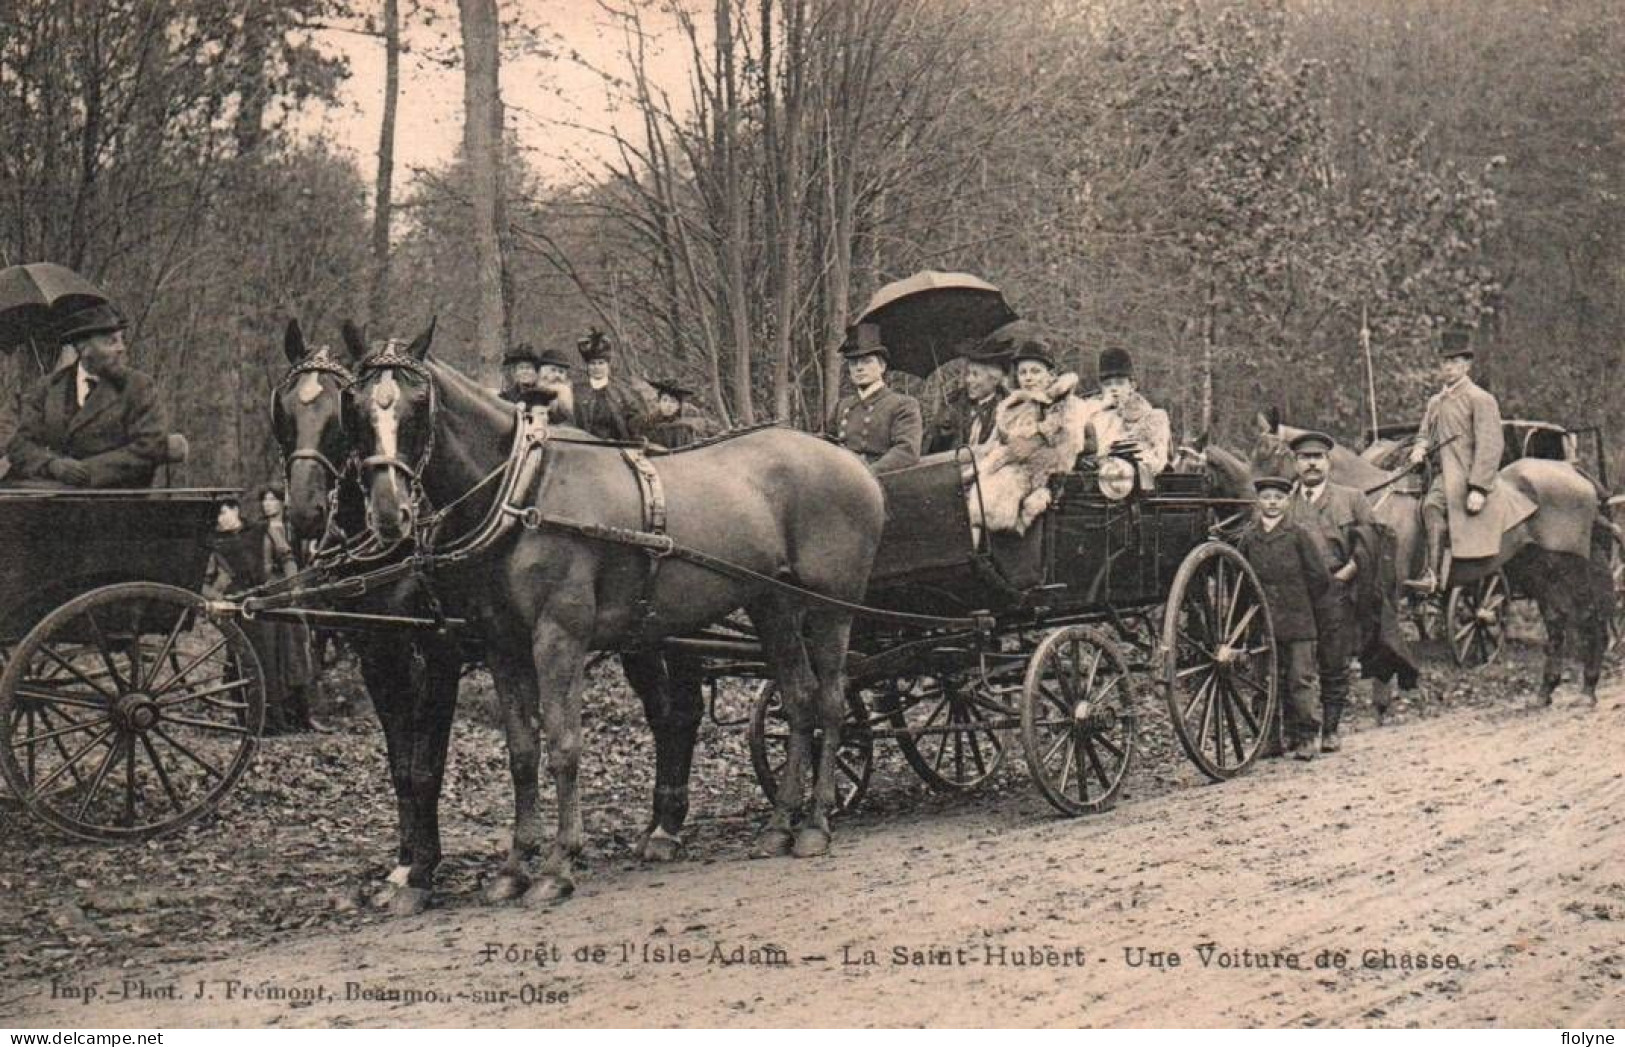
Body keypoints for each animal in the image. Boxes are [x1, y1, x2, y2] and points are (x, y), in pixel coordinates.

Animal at [336, 325, 884, 897]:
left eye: (418, 403)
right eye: (354, 405)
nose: (389, 513)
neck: (526, 490)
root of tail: (853, 464)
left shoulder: (558, 637)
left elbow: (563, 743)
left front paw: (558, 863)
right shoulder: (501, 643)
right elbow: (522, 752)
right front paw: (514, 867)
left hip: (830, 609)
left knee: (829, 703)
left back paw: (815, 823)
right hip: (772, 604)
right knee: (798, 700)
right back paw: (779, 826)